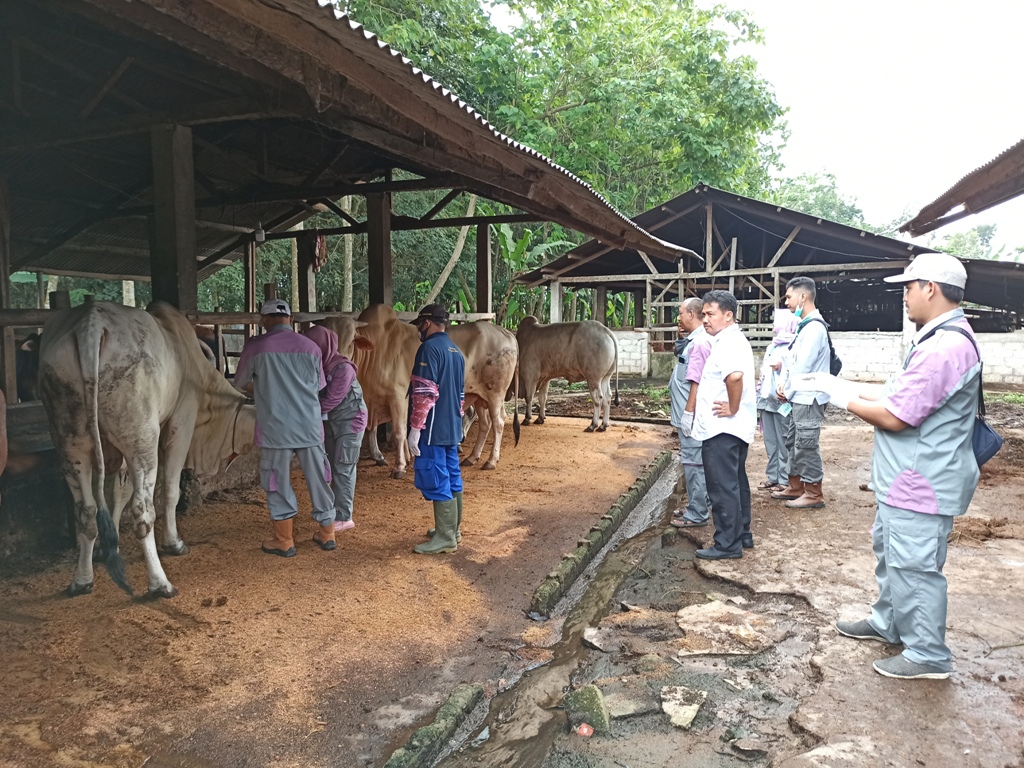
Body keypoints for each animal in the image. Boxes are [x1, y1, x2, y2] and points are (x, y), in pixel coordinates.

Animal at [39, 303, 256, 602]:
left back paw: (82, 580)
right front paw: (174, 543)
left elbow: (117, 493)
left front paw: (109, 546)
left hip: (71, 441)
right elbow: (171, 491)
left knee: (87, 509)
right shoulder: (181, 425)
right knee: (143, 510)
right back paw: (160, 583)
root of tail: (90, 324)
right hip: (142, 438)